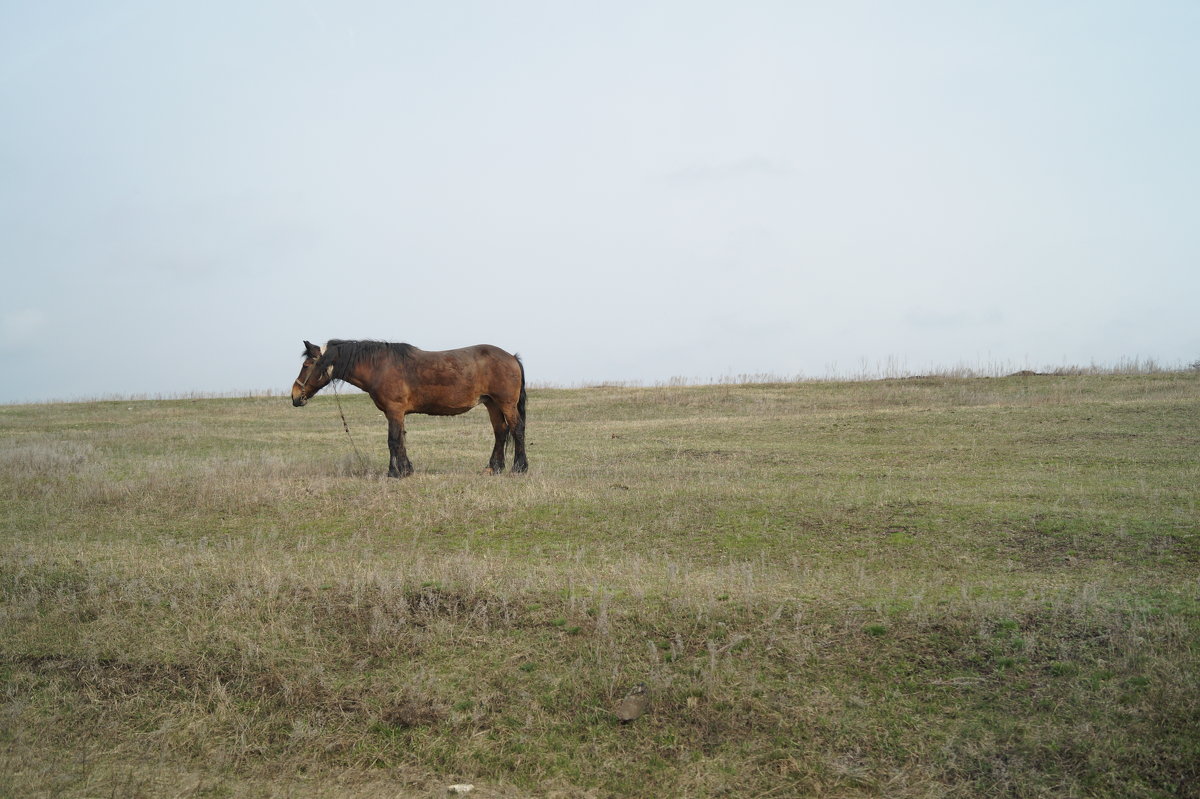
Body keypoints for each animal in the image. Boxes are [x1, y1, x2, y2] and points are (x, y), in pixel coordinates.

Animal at [289, 338, 525, 475]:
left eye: (307, 365)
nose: (295, 396)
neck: (380, 367)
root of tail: (511, 357)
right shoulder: (396, 413)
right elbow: (400, 440)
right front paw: (406, 469)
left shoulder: (394, 410)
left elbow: (393, 440)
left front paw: (395, 472)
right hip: (491, 403)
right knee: (501, 432)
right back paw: (494, 468)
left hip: (505, 404)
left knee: (517, 430)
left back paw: (519, 468)